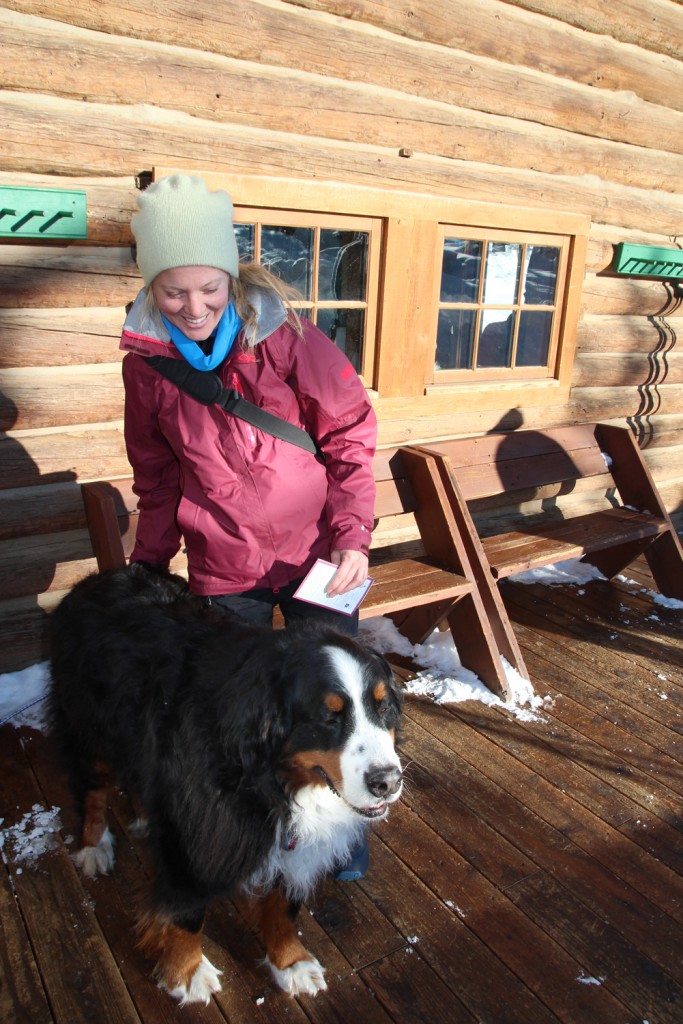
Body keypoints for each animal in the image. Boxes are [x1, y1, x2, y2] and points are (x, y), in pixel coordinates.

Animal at [48, 561, 403, 999]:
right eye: (328, 717)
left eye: (383, 707)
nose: (388, 781)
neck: (269, 776)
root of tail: (99, 576)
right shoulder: (195, 829)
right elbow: (187, 910)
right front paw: (186, 972)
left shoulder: (290, 838)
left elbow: (283, 906)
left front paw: (290, 962)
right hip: (89, 728)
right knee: (93, 787)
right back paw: (93, 845)